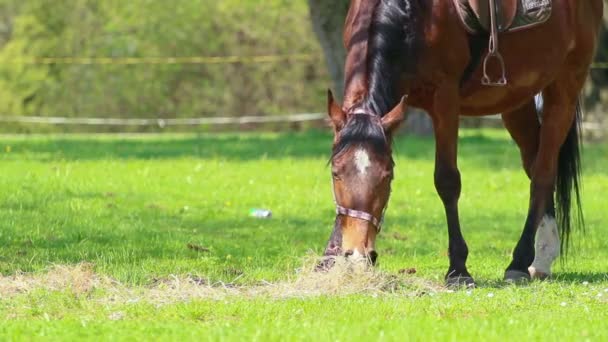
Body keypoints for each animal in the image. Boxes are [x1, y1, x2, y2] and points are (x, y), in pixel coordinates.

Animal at [324, 0, 604, 286]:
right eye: (335, 173)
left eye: (387, 176)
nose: (357, 254)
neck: (413, 15)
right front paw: (329, 257)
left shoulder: (445, 100)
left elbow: (447, 181)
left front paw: (458, 268)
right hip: (517, 99)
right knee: (534, 163)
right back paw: (542, 257)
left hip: (565, 88)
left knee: (543, 174)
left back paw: (520, 262)